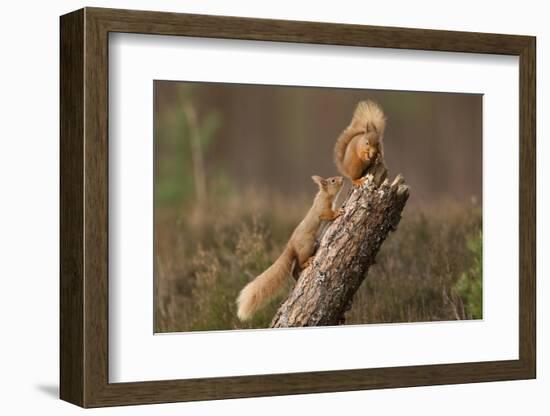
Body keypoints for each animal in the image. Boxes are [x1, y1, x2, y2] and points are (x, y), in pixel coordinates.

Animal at [238, 174, 344, 320]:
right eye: (333, 180)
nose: (342, 179)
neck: (325, 195)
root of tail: (291, 245)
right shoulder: (322, 209)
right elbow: (328, 214)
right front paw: (338, 212)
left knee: (294, 270)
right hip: (307, 244)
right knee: (299, 263)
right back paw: (307, 262)